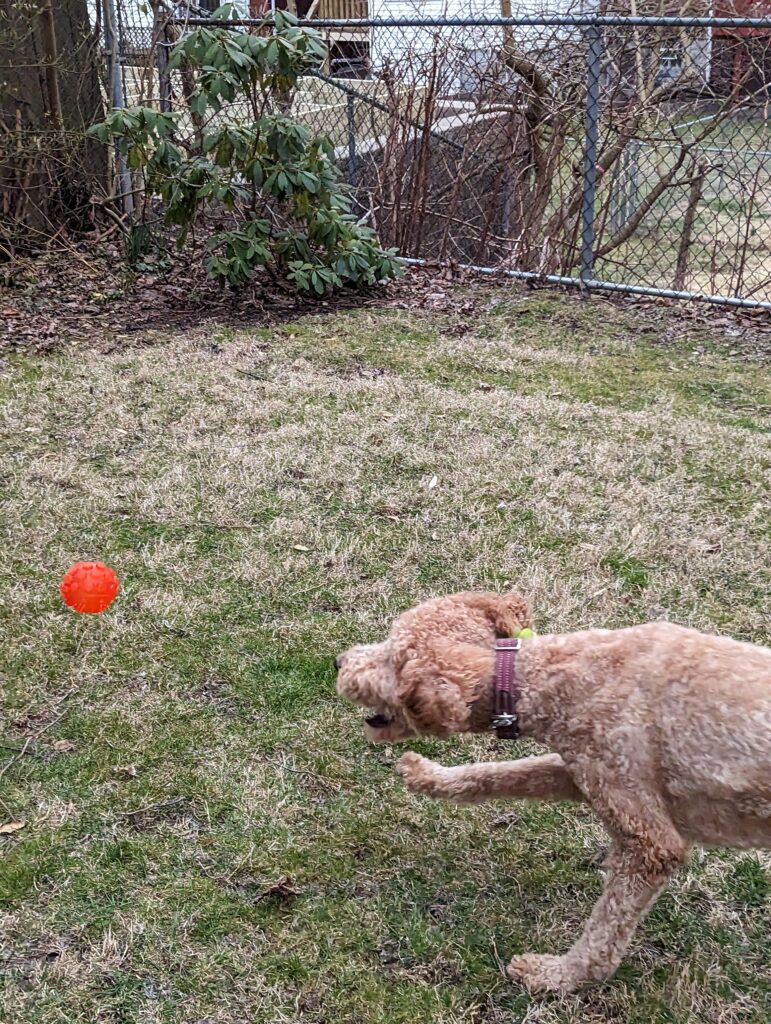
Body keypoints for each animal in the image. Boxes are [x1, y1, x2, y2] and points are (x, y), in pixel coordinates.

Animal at [335, 593, 769, 991]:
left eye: (391, 656)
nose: (339, 661)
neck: (545, 674)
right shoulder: (584, 773)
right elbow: (500, 773)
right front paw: (427, 775)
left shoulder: (646, 838)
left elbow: (605, 930)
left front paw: (560, 976)